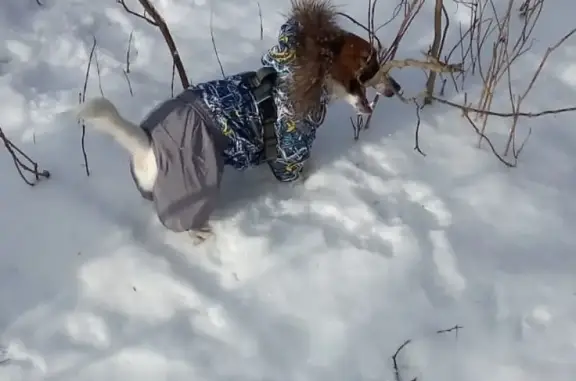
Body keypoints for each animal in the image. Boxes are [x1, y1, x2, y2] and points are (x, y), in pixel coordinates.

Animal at [77, 0, 400, 243]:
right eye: (371, 63)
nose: (397, 88)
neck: (296, 80)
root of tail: (146, 141)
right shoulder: (287, 156)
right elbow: (295, 174)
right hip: (195, 182)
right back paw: (199, 233)